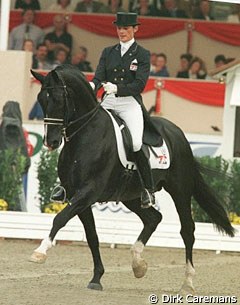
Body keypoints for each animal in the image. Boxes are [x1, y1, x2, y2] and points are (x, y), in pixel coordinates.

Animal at [30, 64, 234, 292]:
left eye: (59, 99)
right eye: (41, 99)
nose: (51, 142)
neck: (85, 135)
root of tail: (177, 133)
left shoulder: (88, 192)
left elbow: (60, 218)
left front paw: (40, 252)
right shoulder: (79, 196)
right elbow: (91, 235)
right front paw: (96, 278)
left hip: (180, 190)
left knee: (187, 230)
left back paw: (187, 283)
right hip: (132, 196)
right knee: (154, 218)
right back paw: (138, 264)